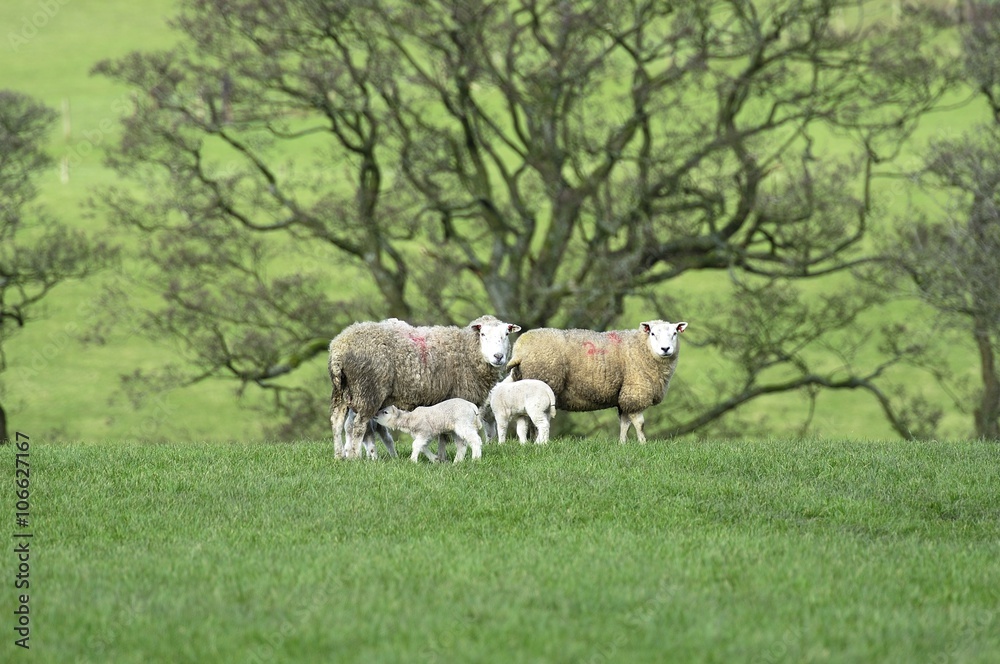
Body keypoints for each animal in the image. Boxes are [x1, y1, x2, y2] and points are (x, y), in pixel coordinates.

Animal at [328, 315, 521, 459]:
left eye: (506, 334)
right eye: (483, 334)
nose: (498, 356)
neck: (466, 351)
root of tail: (339, 347)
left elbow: (443, 435)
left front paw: (441, 457)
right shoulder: (459, 398)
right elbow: (451, 436)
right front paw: (448, 457)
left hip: (342, 391)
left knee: (337, 422)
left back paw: (339, 456)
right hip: (368, 390)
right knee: (358, 426)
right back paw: (354, 457)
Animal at [506, 320, 688, 443]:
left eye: (675, 333)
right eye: (653, 334)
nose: (666, 349)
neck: (642, 348)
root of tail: (519, 349)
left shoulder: (623, 395)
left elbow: (625, 423)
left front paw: (623, 444)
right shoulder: (635, 392)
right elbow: (639, 423)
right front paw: (643, 443)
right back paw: (540, 441)